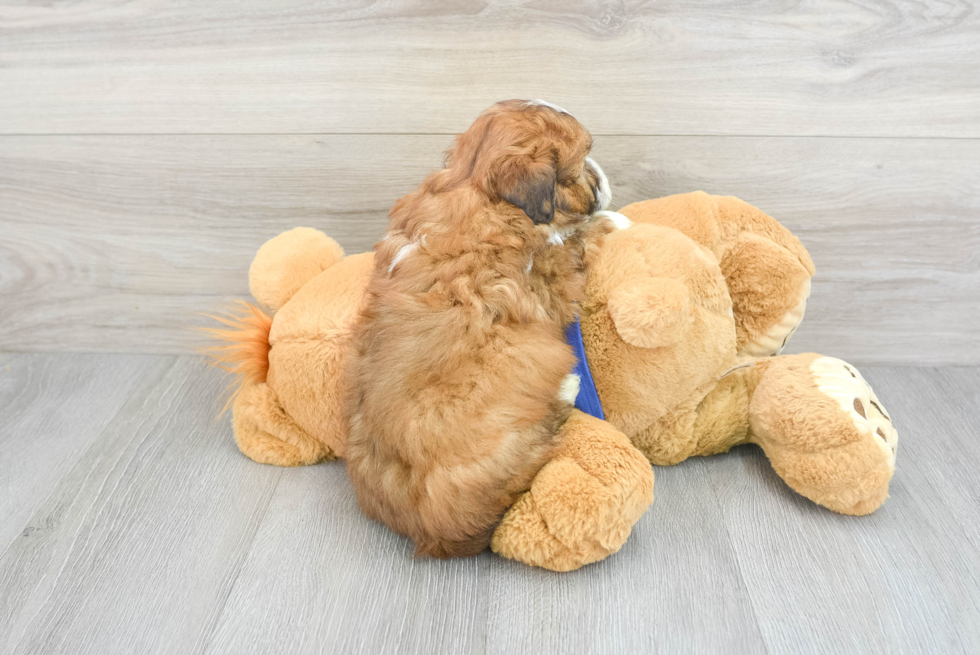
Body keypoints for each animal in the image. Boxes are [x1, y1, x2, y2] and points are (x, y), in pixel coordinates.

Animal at [348, 100, 616, 556]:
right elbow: (578, 239)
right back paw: (568, 387)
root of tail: (432, 531)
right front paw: (616, 220)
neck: (472, 186)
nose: (604, 173)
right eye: (582, 166)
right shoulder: (551, 276)